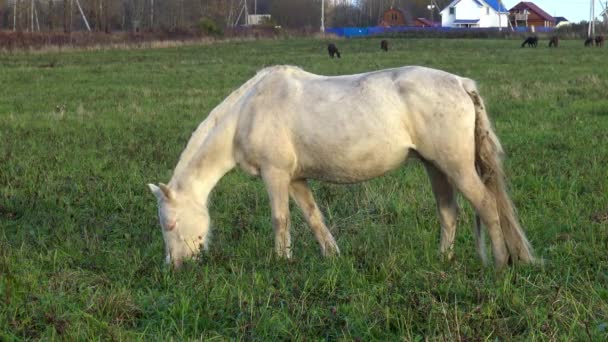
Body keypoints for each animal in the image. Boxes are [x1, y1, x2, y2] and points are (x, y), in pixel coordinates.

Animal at [150, 65, 536, 270]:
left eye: (170, 224)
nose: (175, 266)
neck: (249, 111)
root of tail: (461, 84)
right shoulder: (296, 179)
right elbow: (313, 218)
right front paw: (332, 256)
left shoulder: (276, 175)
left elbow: (280, 219)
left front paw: (281, 262)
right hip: (436, 166)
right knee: (449, 212)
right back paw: (445, 259)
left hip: (456, 167)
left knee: (486, 205)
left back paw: (500, 263)